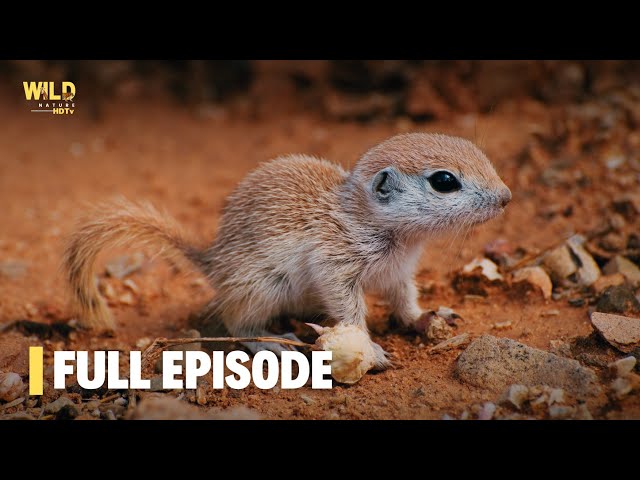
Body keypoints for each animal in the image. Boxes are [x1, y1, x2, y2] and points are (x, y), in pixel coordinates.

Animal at [63, 133, 511, 369]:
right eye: (444, 181)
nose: (506, 198)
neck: (365, 217)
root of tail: (212, 262)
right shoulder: (336, 267)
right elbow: (350, 313)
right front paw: (370, 350)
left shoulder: (399, 275)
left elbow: (404, 304)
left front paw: (427, 318)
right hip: (263, 287)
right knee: (237, 326)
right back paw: (273, 343)